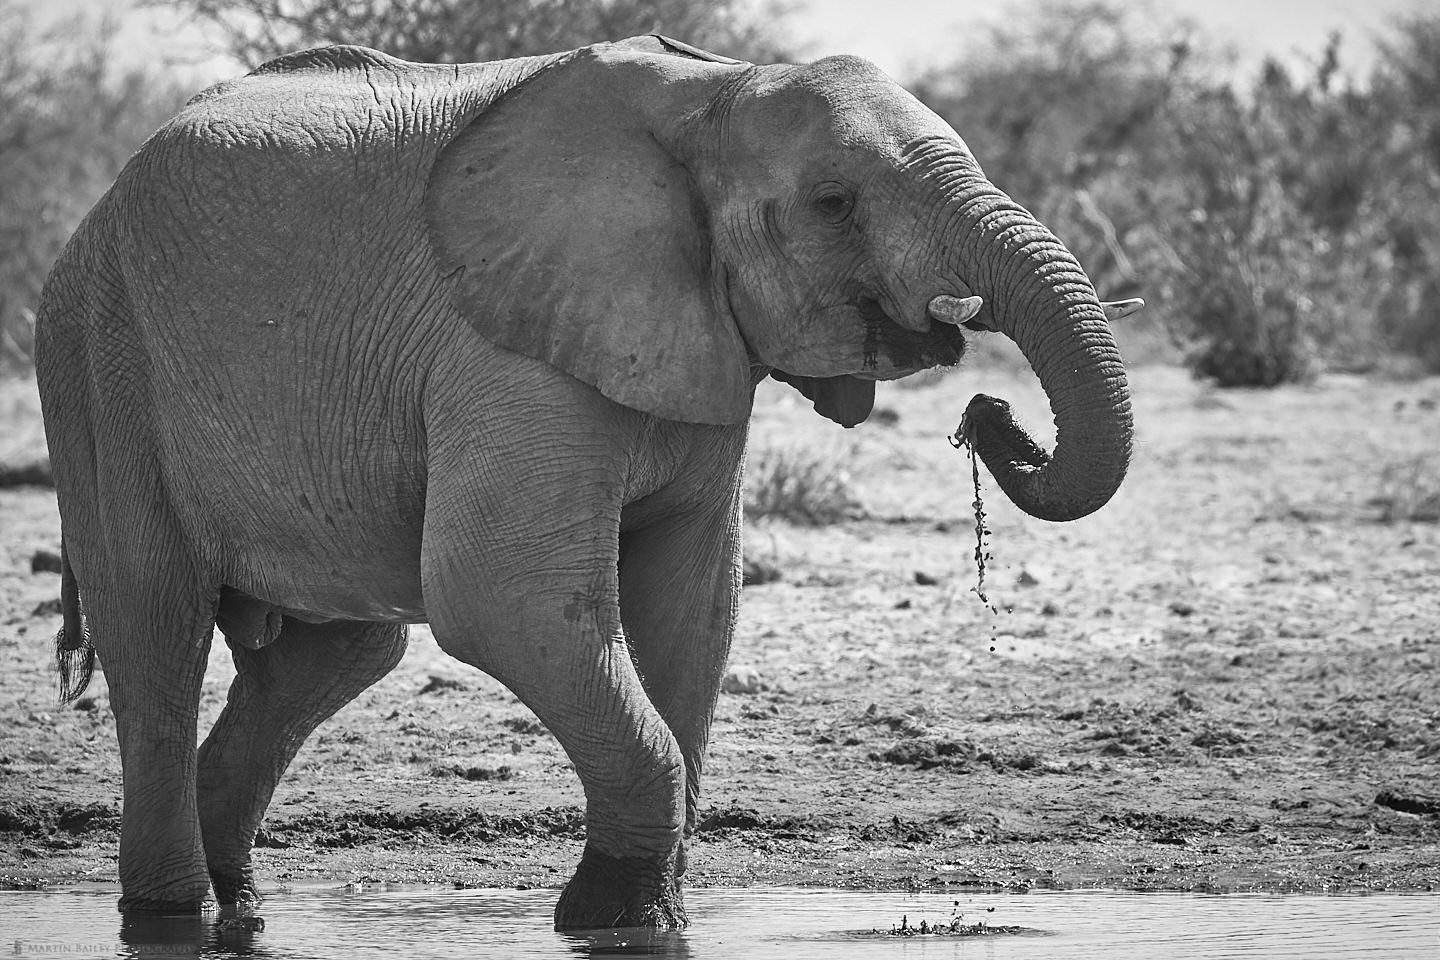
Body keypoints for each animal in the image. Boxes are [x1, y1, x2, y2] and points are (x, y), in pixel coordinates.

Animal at [36, 33, 1134, 926]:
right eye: (834, 205)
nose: (988, 413)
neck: (717, 90)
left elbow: (695, 610)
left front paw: (650, 912)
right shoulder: (504, 348)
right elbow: (499, 599)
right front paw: (607, 917)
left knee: (332, 654)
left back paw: (239, 902)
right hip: (96, 352)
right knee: (158, 633)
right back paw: (168, 914)